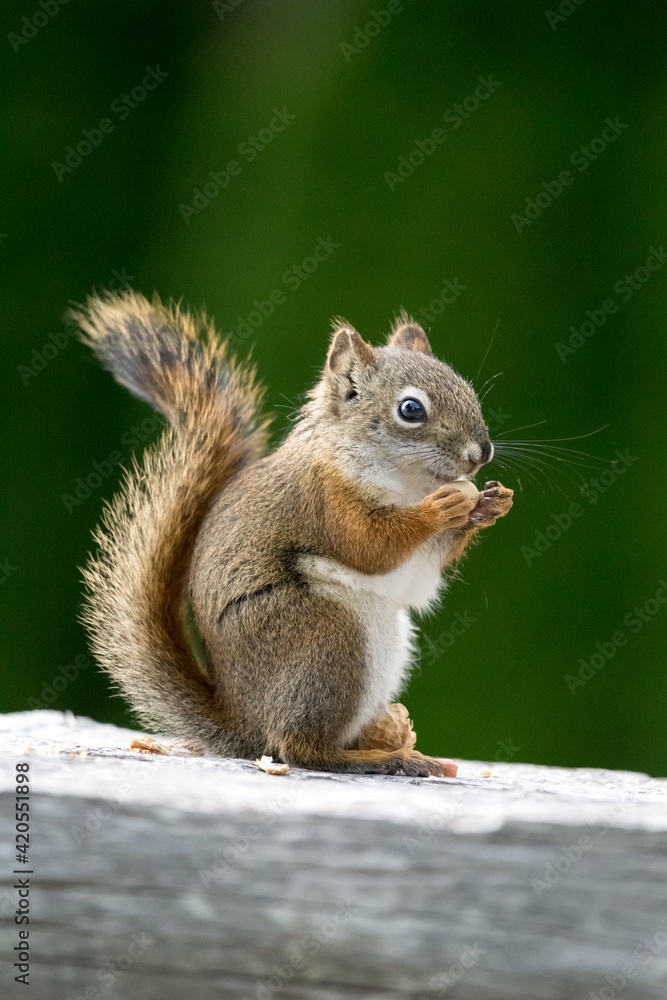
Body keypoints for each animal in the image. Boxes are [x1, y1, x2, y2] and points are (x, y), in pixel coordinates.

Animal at [71, 291, 513, 777]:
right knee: (299, 747)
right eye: (411, 409)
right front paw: (440, 510)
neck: (408, 482)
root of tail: (243, 722)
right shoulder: (325, 501)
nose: (481, 453)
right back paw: (385, 758)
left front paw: (491, 503)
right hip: (328, 641)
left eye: (467, 389)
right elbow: (371, 547)